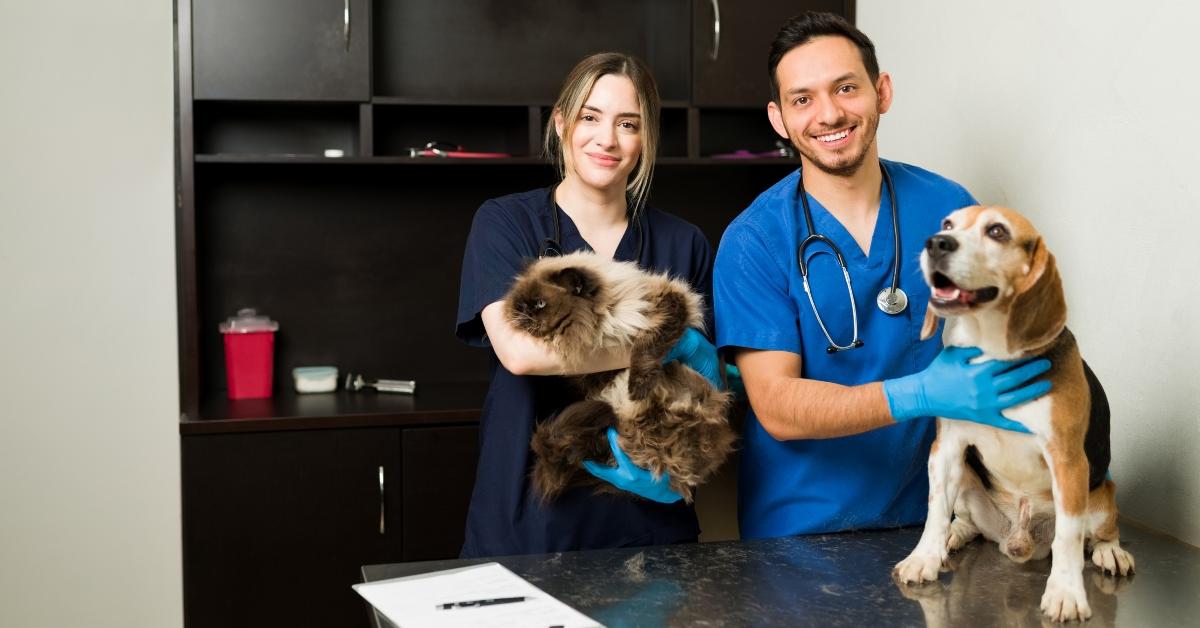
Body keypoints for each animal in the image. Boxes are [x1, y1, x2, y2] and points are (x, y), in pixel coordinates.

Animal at [501, 253, 734, 504]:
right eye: (521, 303)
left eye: (540, 304)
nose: (523, 311)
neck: (602, 323)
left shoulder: (667, 303)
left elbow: (646, 348)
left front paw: (637, 387)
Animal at [892, 207, 1132, 624]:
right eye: (948, 224)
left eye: (997, 231)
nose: (936, 242)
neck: (992, 354)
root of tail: (1018, 541)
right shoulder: (947, 449)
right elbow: (935, 509)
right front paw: (924, 558)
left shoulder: (1067, 460)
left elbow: (1069, 537)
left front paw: (1065, 593)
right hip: (967, 481)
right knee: (965, 521)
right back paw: (953, 536)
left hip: (1101, 495)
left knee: (1098, 533)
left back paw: (1110, 552)